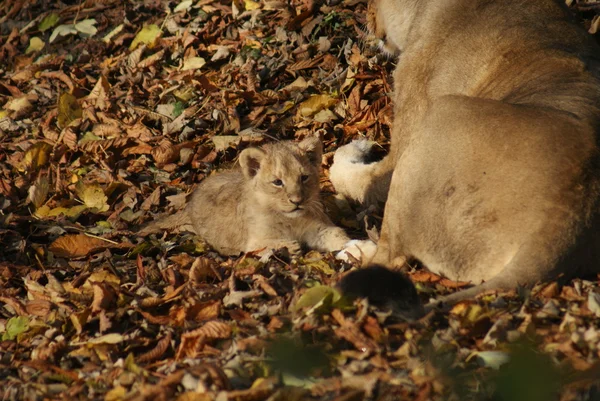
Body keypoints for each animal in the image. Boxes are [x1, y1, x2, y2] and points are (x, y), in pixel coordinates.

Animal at [330, 0, 600, 302]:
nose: (367, 15)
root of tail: (563, 219)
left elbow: (352, 176)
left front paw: (355, 149)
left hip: (443, 113)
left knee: (389, 257)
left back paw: (353, 251)